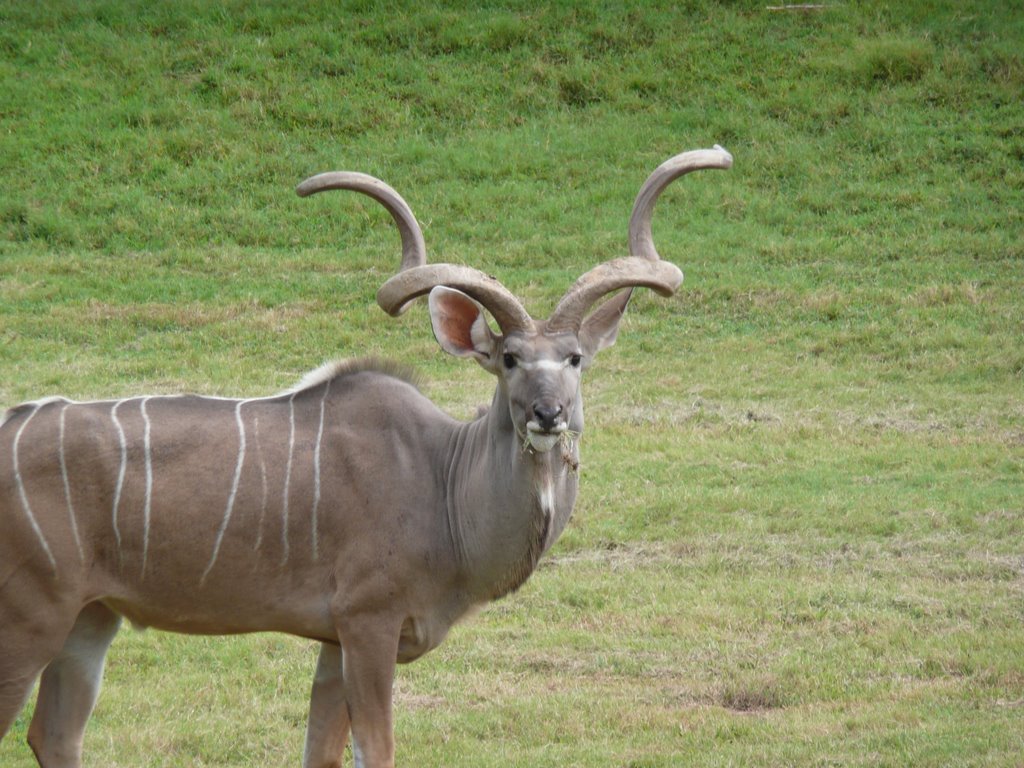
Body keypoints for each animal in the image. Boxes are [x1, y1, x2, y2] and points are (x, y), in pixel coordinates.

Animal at [2, 147, 737, 765]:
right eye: (508, 359)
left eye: (575, 358)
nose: (548, 414)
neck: (441, 481)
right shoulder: (367, 625)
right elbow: (374, 751)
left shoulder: (332, 642)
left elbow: (321, 753)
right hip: (31, 618)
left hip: (91, 618)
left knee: (54, 734)